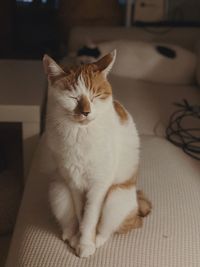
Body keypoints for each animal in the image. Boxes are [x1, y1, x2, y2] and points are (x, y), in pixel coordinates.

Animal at [43, 51, 151, 258]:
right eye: (73, 98)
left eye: (95, 96)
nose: (86, 112)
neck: (80, 133)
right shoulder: (73, 183)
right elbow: (81, 215)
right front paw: (79, 239)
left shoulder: (99, 185)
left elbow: (90, 218)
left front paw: (86, 244)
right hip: (58, 190)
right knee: (68, 220)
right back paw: (70, 235)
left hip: (115, 198)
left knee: (114, 227)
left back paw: (98, 240)